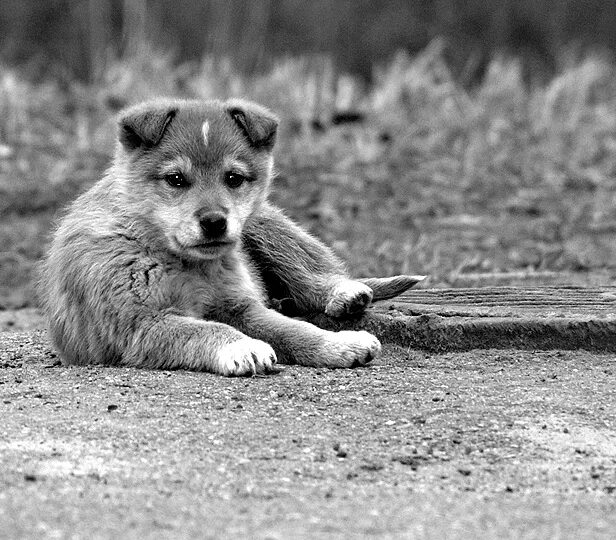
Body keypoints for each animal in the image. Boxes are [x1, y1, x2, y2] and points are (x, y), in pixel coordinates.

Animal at [39, 98, 424, 376]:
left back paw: (345, 294)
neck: (182, 262)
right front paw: (243, 347)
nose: (214, 222)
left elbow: (295, 331)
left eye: (233, 178)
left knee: (309, 271)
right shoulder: (141, 323)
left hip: (264, 227)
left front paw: (340, 345)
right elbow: (204, 330)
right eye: (176, 179)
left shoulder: (240, 306)